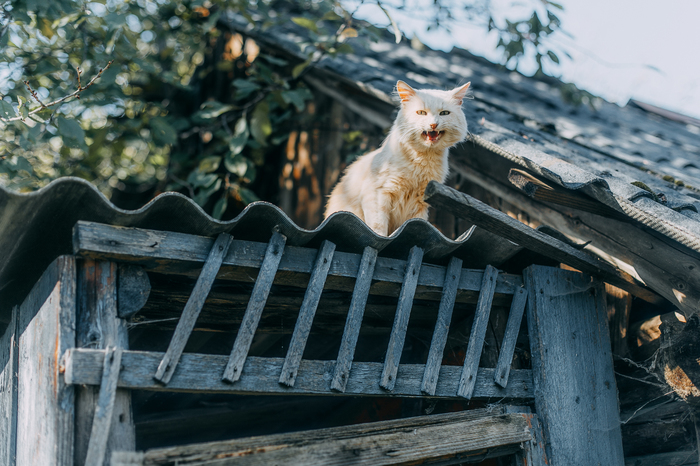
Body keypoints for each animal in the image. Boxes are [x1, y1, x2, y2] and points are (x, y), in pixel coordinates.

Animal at [324, 79, 470, 237]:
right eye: (421, 113)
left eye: (444, 113)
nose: (433, 124)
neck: (422, 160)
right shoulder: (377, 194)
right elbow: (378, 228)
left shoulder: (420, 205)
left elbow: (417, 223)